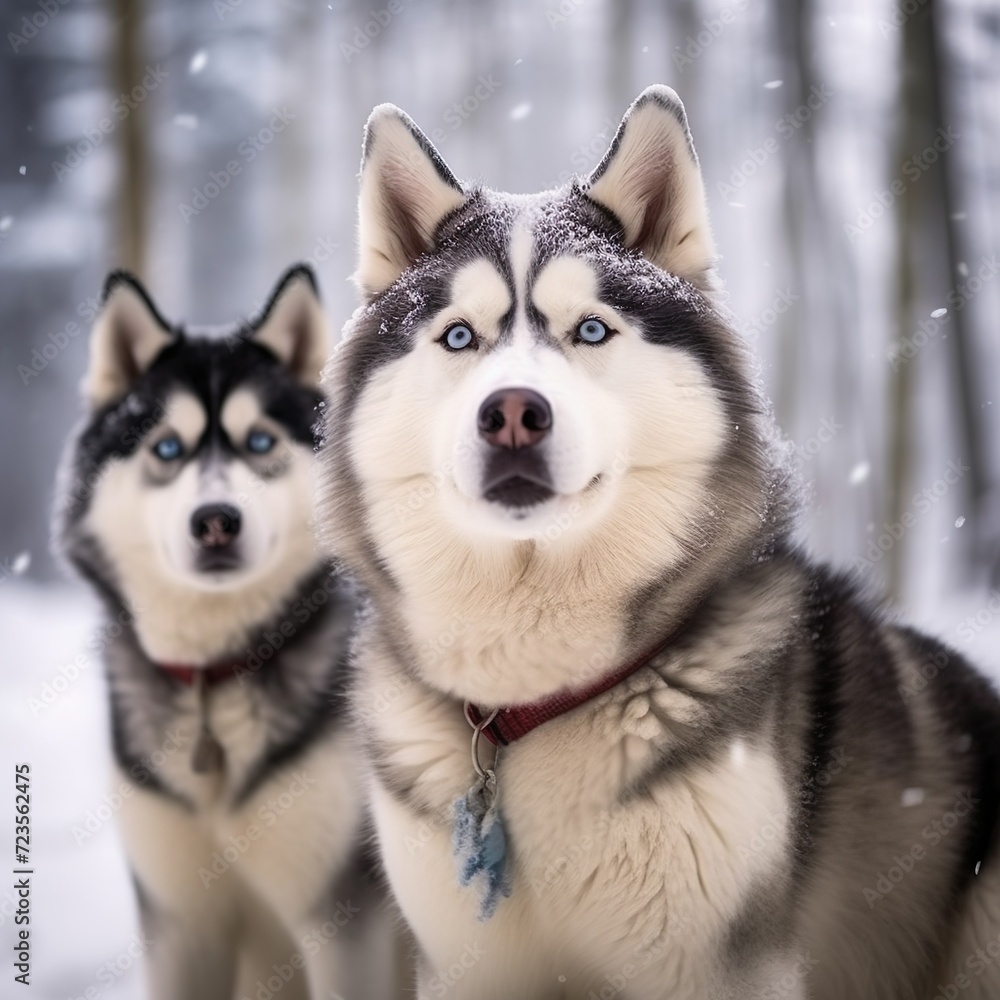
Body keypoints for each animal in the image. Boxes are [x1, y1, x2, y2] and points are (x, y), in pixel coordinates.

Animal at [56, 266, 396, 1000]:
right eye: (167, 447)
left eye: (261, 441)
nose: (216, 521)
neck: (216, 675)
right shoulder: (179, 924)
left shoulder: (347, 919)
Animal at [318, 88, 1000, 1000]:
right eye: (460, 337)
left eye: (591, 331)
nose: (512, 413)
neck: (533, 704)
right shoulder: (466, 964)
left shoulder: (719, 966)